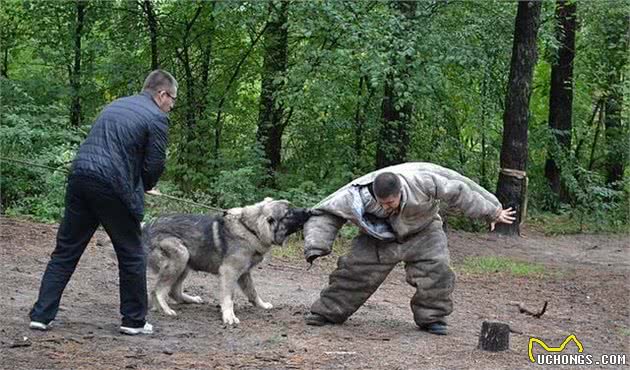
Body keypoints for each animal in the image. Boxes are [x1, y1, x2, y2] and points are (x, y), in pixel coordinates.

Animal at [143, 199, 312, 324]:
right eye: (288, 213)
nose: (308, 211)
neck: (250, 229)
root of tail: (146, 227)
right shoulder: (229, 272)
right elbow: (228, 298)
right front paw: (229, 316)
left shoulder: (244, 273)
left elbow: (253, 292)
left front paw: (262, 305)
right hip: (181, 256)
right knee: (158, 290)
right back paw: (165, 309)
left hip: (186, 262)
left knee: (174, 291)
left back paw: (190, 300)